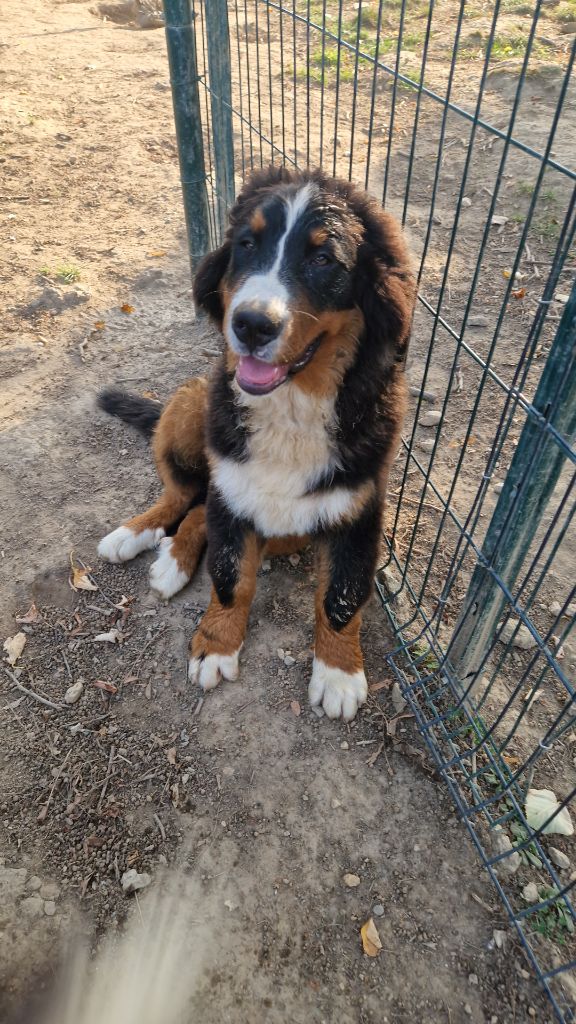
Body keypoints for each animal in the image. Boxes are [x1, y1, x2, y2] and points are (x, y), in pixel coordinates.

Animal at [97, 166, 416, 721]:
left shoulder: (358, 509)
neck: (292, 406)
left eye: (322, 259)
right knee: (184, 497)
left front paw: (338, 672)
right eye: (246, 244)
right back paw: (140, 539)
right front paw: (216, 644)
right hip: (192, 406)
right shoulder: (233, 483)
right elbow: (229, 576)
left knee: (200, 508)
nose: (250, 324)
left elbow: (341, 594)